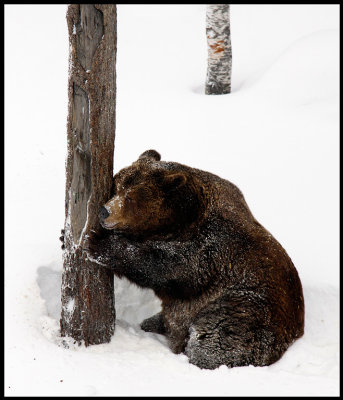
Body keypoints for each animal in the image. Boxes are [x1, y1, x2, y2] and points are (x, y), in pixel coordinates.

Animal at [86, 149, 306, 368]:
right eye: (117, 186)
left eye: (131, 197)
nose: (104, 211)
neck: (182, 219)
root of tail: (297, 333)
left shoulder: (211, 249)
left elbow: (168, 266)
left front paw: (97, 242)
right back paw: (154, 323)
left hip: (246, 309)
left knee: (214, 340)